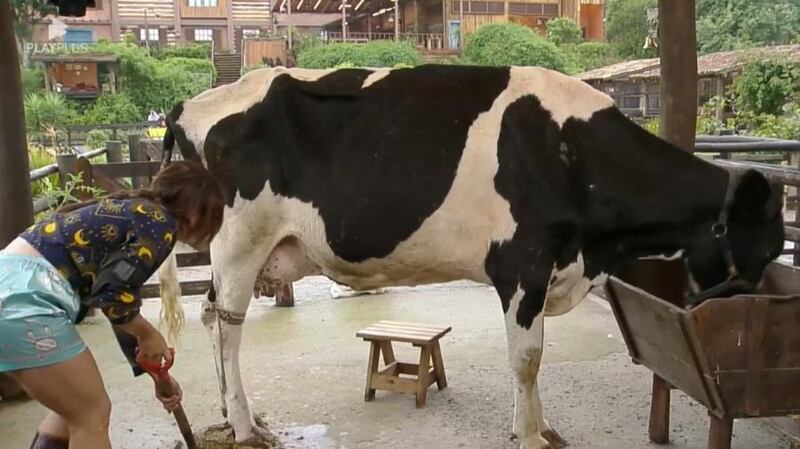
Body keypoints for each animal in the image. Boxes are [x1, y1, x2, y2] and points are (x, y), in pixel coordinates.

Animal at [161, 65, 784, 449]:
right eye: (764, 246)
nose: (746, 322)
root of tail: (193, 102)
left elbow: (534, 360)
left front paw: (541, 427)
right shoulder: (522, 263)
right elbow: (527, 359)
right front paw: (529, 435)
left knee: (211, 314)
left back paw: (233, 415)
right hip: (241, 239)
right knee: (227, 326)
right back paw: (245, 427)